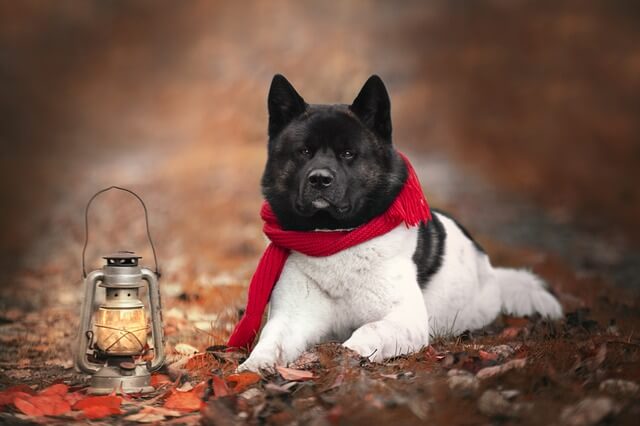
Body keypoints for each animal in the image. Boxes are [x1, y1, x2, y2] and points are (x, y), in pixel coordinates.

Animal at [238, 75, 564, 372]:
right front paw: (253, 366)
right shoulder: (292, 317)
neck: (335, 238)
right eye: (304, 151)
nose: (319, 179)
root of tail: (491, 271)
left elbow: (367, 330)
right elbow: (271, 340)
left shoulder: (405, 320)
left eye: (348, 153)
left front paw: (345, 355)